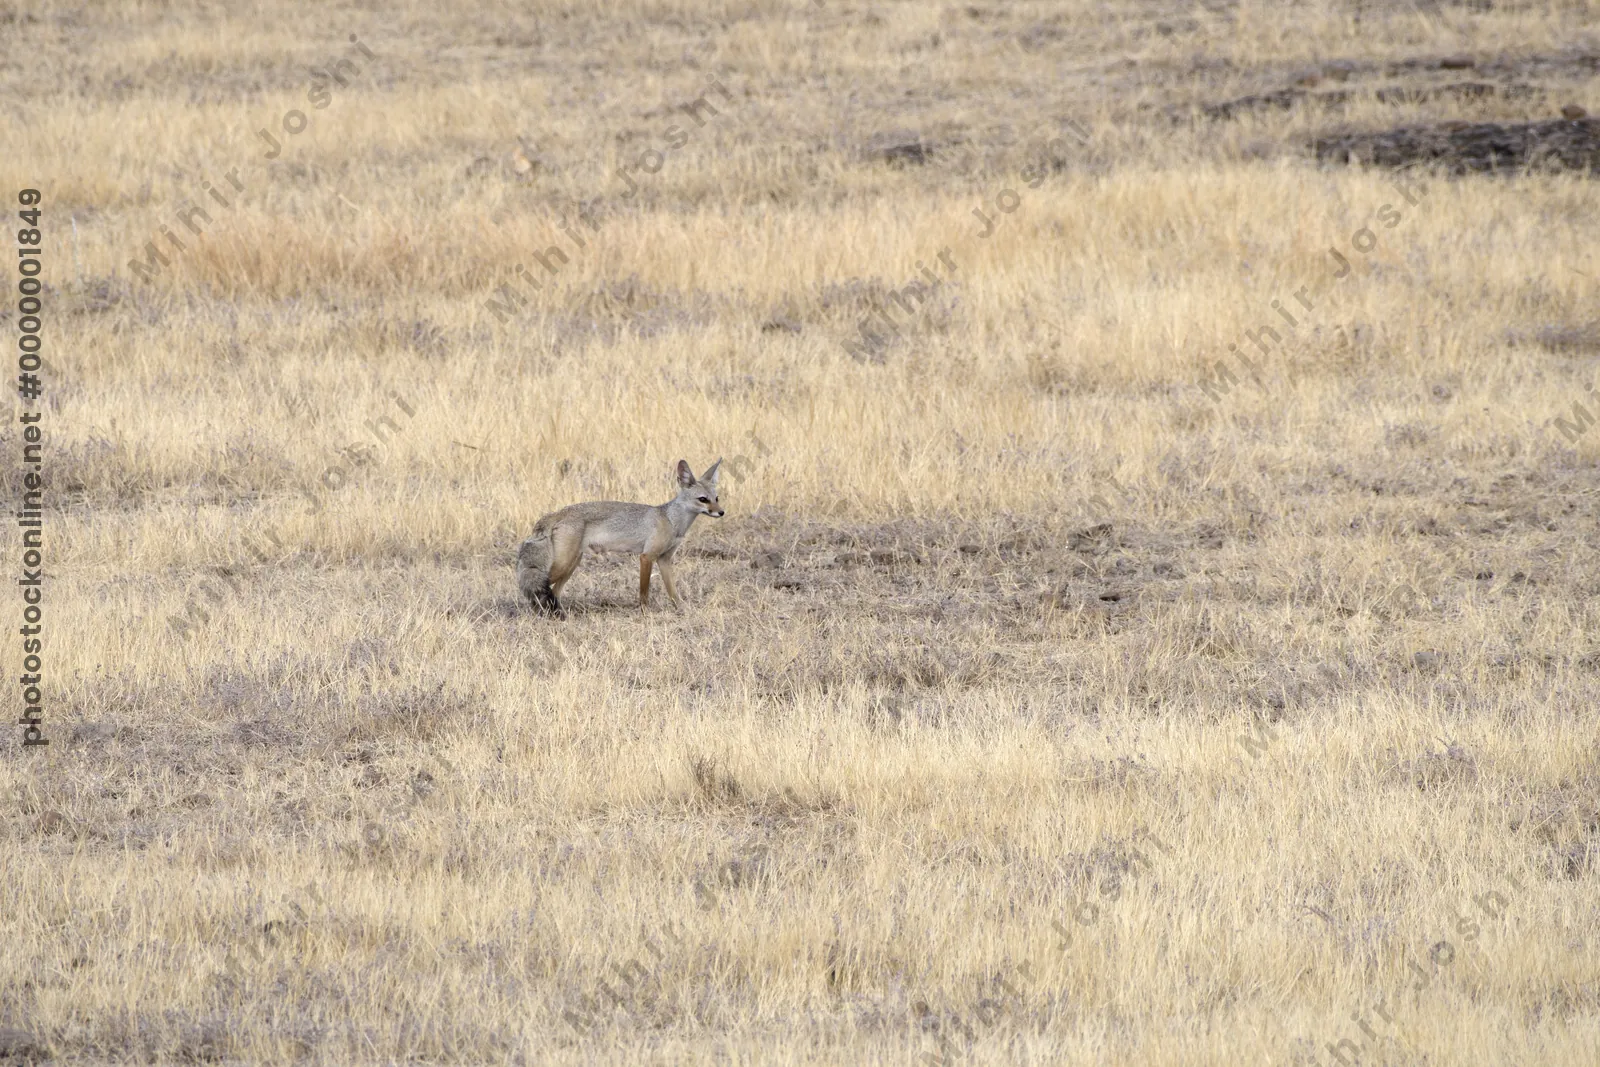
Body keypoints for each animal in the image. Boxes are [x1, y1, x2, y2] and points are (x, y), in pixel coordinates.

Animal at [517, 458, 723, 616]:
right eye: (703, 499)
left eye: (717, 498)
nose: (721, 512)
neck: (671, 520)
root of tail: (558, 512)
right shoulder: (647, 557)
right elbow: (644, 593)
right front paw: (645, 614)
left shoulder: (664, 560)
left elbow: (673, 592)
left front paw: (682, 610)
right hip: (563, 566)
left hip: (571, 565)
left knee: (554, 593)